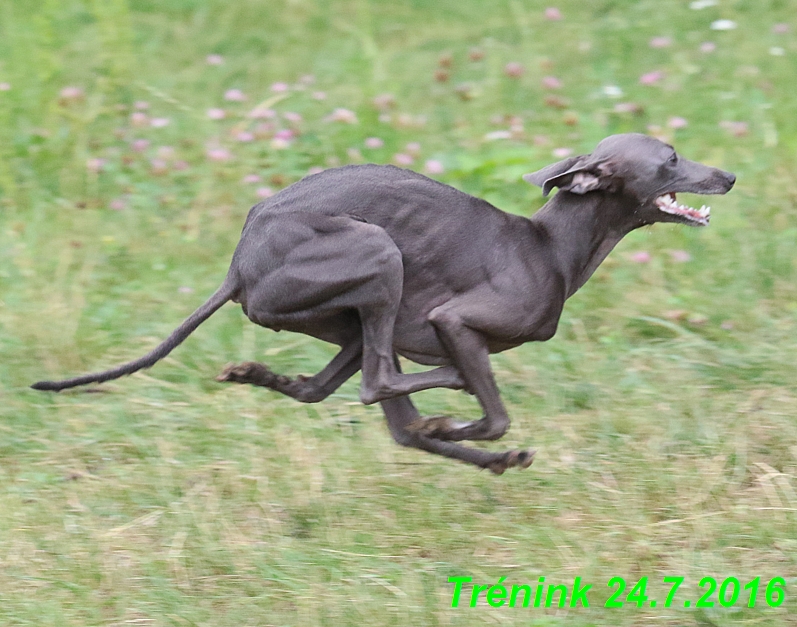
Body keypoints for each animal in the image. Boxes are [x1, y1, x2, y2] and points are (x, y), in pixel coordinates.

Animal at [35, 134, 732, 476]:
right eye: (671, 159)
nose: (729, 175)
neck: (549, 248)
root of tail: (239, 263)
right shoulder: (454, 322)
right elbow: (491, 411)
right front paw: (459, 422)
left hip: (358, 315)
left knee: (336, 393)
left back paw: (260, 375)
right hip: (380, 257)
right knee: (380, 387)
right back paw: (446, 421)